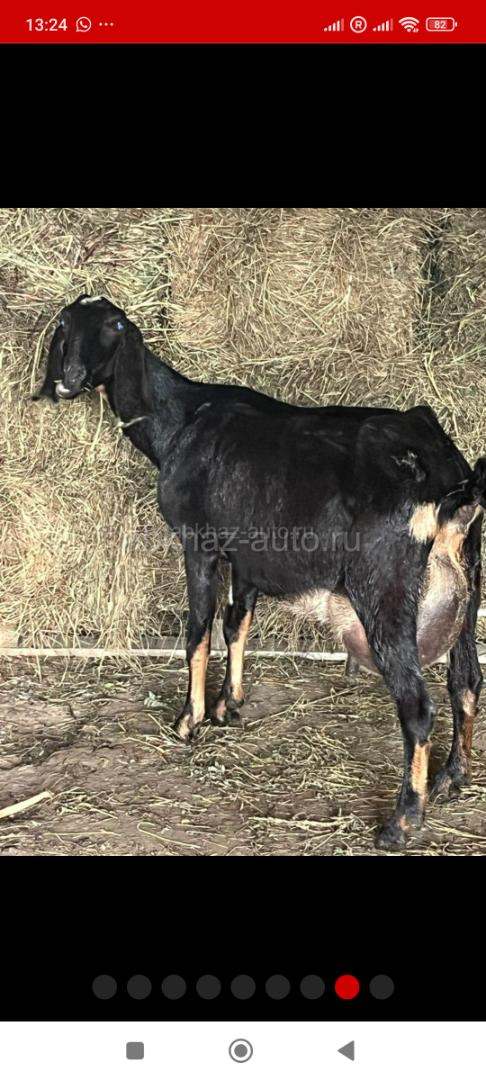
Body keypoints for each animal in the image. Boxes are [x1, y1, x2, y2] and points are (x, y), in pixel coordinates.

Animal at [34, 294, 486, 850]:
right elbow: (236, 624)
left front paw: (189, 720)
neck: (180, 420)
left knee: (418, 708)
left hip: (385, 591)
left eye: (109, 328)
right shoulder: (246, 556)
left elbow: (199, 631)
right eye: (66, 328)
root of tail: (451, 484)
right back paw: (453, 778)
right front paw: (230, 704)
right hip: (468, 584)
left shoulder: (200, 544)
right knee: (466, 681)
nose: (67, 380)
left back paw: (402, 821)